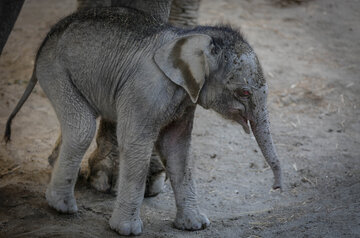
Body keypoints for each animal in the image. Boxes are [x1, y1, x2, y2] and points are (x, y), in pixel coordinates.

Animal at [4, 6, 282, 236]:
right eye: (244, 92)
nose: (276, 188)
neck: (192, 36)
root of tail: (46, 40)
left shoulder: (186, 100)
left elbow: (177, 147)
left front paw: (196, 225)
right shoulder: (144, 91)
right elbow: (136, 143)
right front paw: (125, 230)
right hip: (56, 71)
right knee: (82, 128)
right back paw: (62, 207)